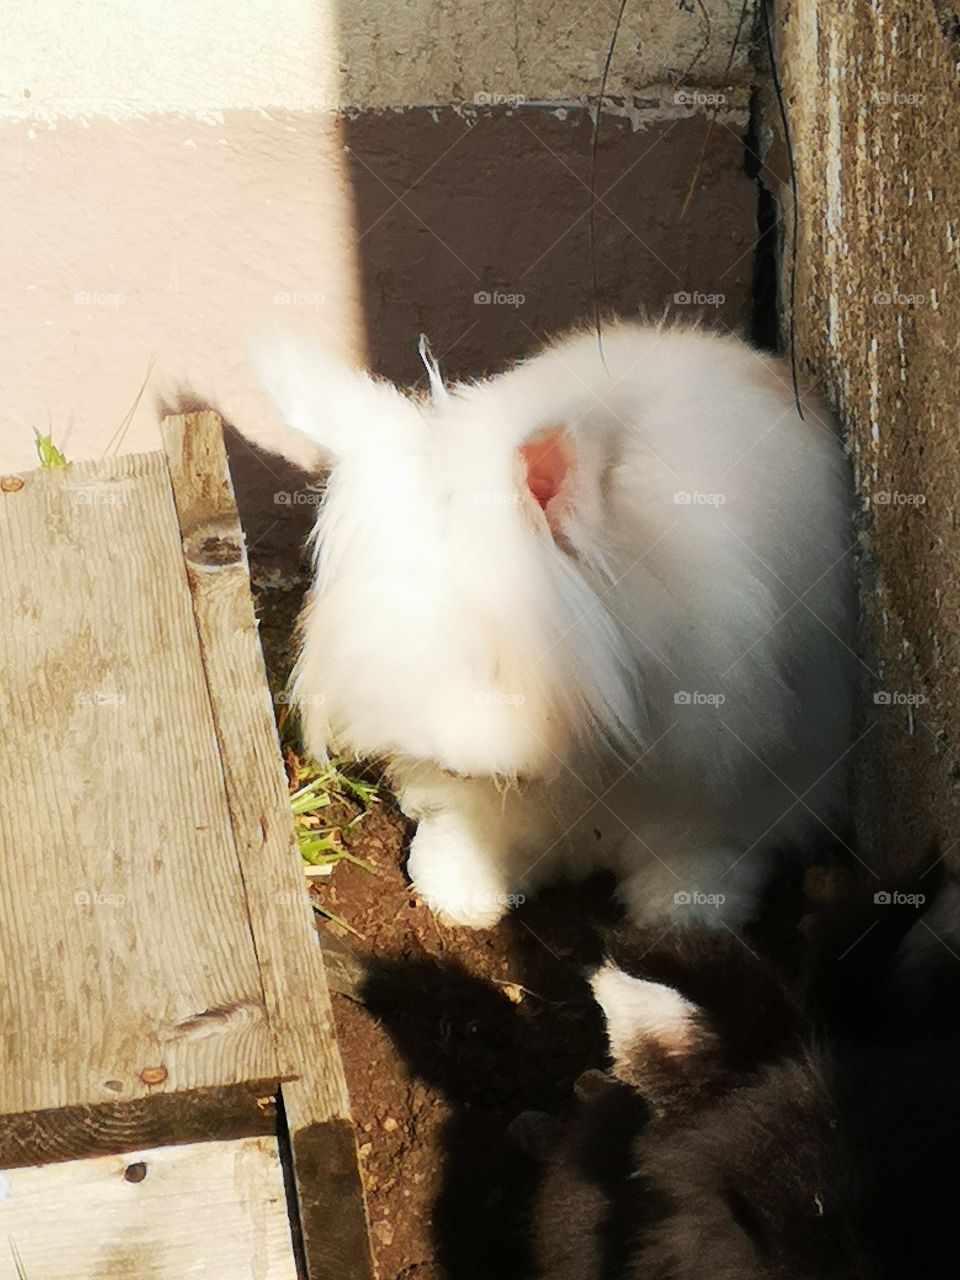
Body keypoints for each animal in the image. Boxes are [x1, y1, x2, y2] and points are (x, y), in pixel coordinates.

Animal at [246, 320, 855, 927]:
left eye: (497, 658)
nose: (443, 753)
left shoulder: (726, 747)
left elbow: (701, 832)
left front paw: (684, 907)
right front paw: (460, 888)